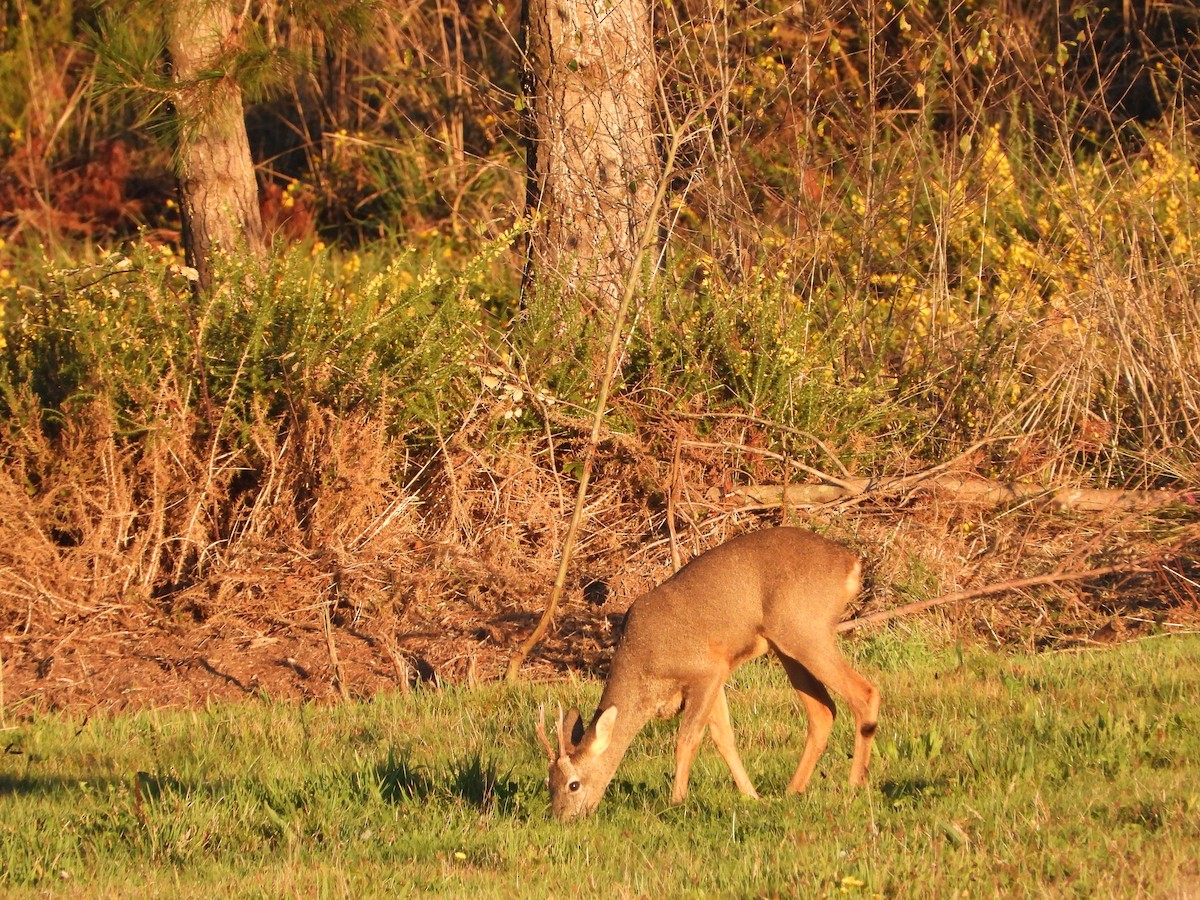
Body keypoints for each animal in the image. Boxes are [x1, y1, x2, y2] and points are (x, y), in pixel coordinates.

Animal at [535, 526, 880, 821]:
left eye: (574, 784)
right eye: (549, 783)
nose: (561, 818)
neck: (644, 668)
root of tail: (850, 564)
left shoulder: (706, 668)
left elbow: (687, 737)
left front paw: (677, 801)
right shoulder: (717, 675)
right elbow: (723, 737)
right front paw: (752, 796)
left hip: (805, 629)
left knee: (865, 693)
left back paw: (854, 786)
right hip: (787, 643)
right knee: (823, 710)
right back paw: (791, 791)